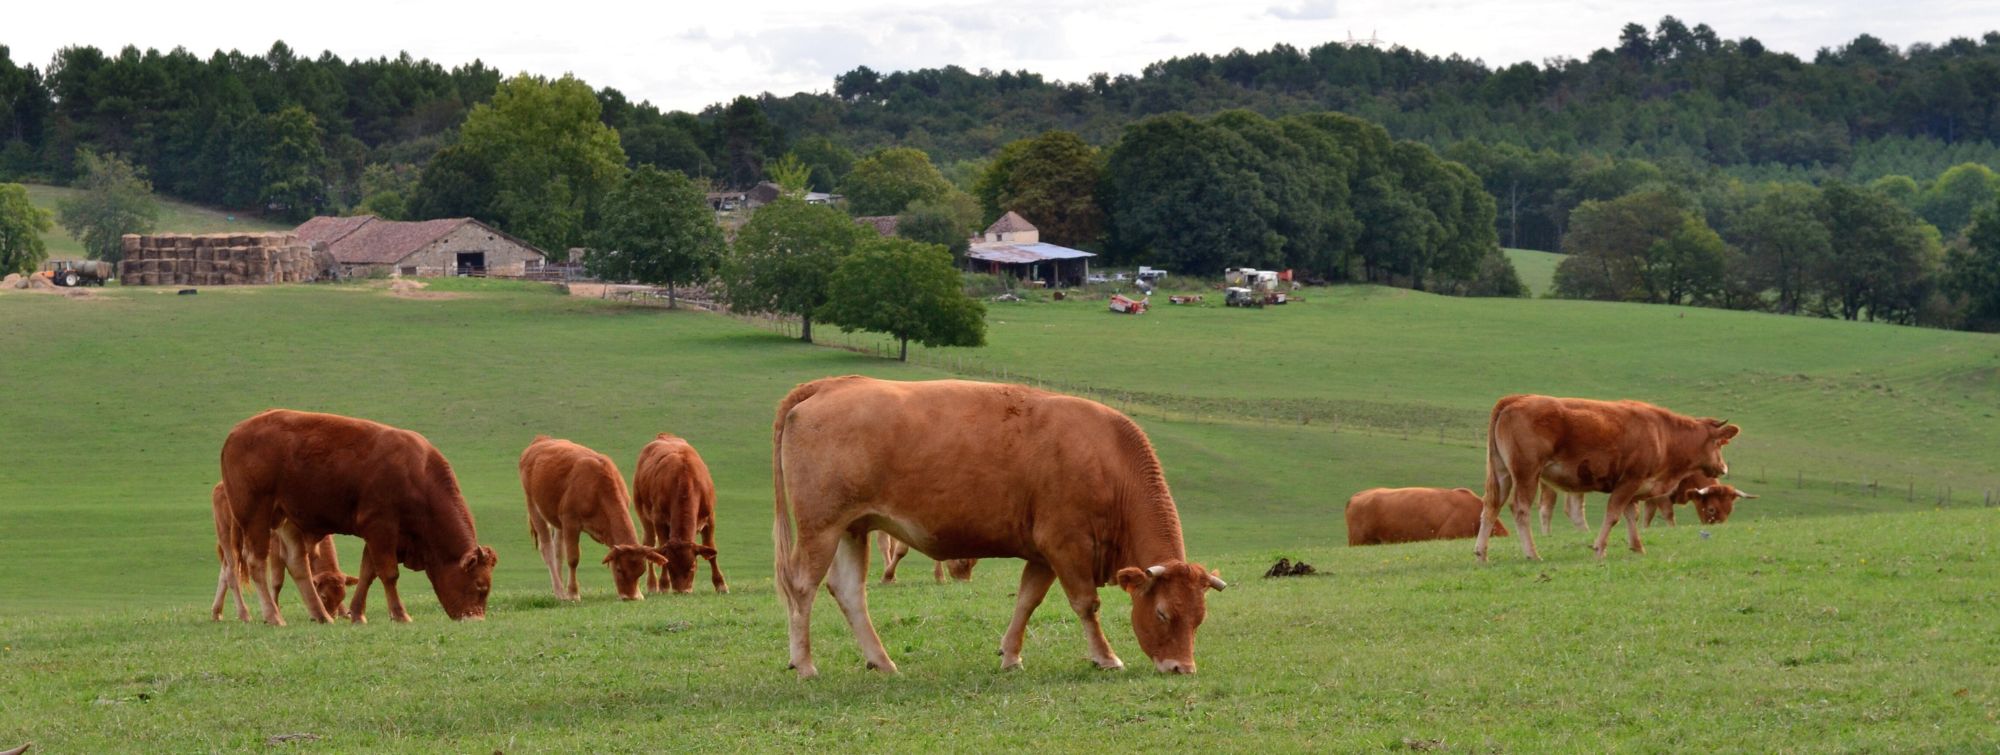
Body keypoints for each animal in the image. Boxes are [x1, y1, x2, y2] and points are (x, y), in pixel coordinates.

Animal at [209, 481, 357, 622]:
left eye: (342, 596)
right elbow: (277, 581)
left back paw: (217, 613)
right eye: (324, 596)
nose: (333, 615)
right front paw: (275, 610)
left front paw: (343, 612)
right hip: (227, 538)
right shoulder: (276, 548)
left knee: (224, 572)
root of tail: (219, 486)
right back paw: (244, 614)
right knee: (231, 573)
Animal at [521, 436, 664, 601]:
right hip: (533, 506)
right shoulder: (571, 523)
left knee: (558, 551)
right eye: (619, 569)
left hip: (558, 520)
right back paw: (559, 591)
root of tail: (540, 440)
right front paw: (573, 593)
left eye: (641, 571)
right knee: (547, 549)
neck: (597, 488)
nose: (630, 597)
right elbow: (573, 558)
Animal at [632, 433, 728, 595]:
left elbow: (711, 550)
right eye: (670, 566)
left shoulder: (710, 519)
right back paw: (652, 585)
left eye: (693, 566)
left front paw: (720, 584)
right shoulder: (659, 519)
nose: (682, 591)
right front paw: (664, 585)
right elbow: (661, 549)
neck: (685, 479)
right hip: (644, 515)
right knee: (649, 544)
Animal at [772, 376, 1225, 678]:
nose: (1182, 668)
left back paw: (881, 661)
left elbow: (1026, 601)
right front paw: (1106, 657)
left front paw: (1010, 655)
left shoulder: (1043, 553)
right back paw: (805, 663)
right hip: (821, 529)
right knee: (802, 588)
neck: (1107, 460)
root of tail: (831, 384)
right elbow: (1086, 604)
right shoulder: (1067, 545)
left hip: (852, 528)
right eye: (1163, 614)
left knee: (849, 592)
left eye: (1199, 618)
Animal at [1477, 395, 1741, 562]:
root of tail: (1515, 399)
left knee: (1490, 508)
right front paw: (1599, 548)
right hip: (1527, 474)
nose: (1724, 467)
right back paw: (1532, 553)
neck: (1662, 435)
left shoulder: (1634, 486)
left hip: (1501, 474)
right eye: (1720, 443)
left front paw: (1637, 547)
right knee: (1520, 509)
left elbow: (1631, 515)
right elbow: (1614, 514)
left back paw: (1481, 554)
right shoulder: (1629, 481)